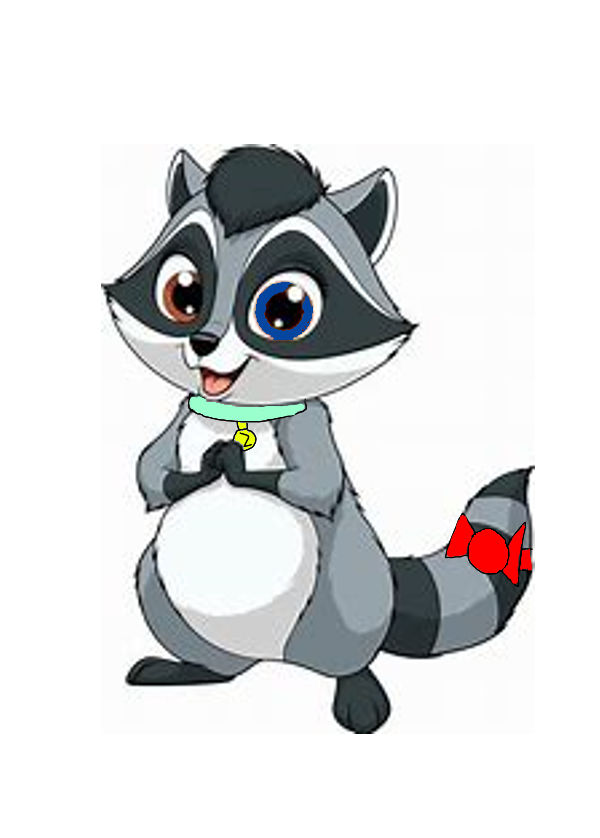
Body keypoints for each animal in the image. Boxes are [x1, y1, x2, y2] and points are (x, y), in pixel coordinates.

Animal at [105, 146, 533, 733]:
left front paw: (236, 466)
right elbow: (148, 472)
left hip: (346, 595)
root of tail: (269, 657)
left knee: (347, 644)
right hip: (161, 592)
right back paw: (192, 669)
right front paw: (197, 472)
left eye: (284, 311)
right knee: (201, 644)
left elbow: (317, 482)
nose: (203, 341)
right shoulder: (179, 417)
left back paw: (356, 686)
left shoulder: (311, 426)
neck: (237, 408)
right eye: (183, 295)